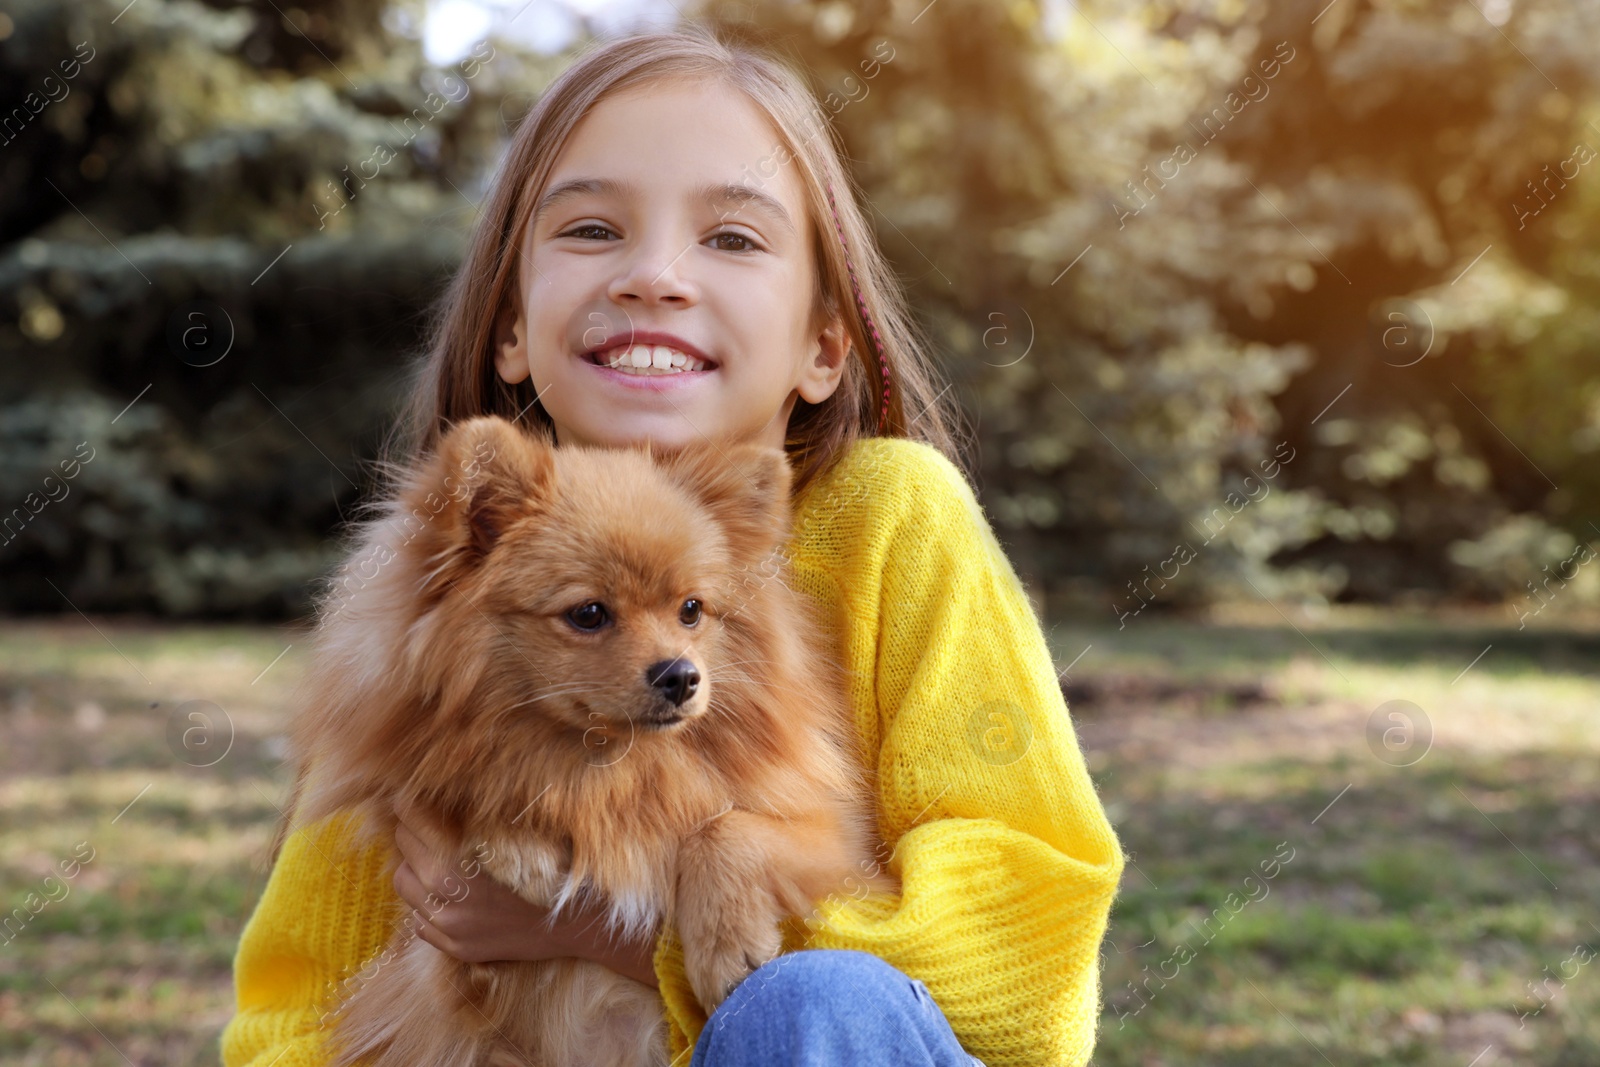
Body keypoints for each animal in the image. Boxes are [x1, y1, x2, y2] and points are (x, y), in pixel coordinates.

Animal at [281, 415, 896, 1067]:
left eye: (692, 610)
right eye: (589, 614)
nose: (681, 675)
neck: (611, 764)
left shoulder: (835, 839)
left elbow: (725, 830)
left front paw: (727, 945)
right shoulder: (444, 968)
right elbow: (461, 790)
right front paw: (519, 843)